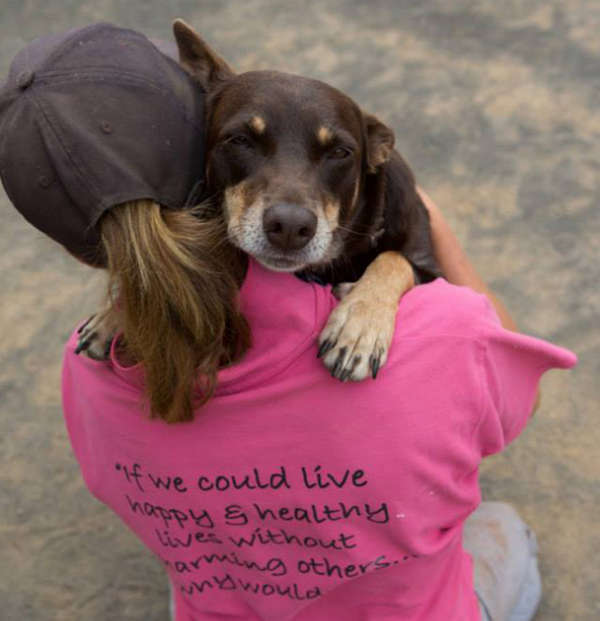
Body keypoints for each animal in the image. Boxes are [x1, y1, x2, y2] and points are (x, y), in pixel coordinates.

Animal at [170, 20, 440, 382]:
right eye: (240, 140)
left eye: (340, 152)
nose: (289, 228)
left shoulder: (431, 266)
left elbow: (393, 259)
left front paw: (359, 325)